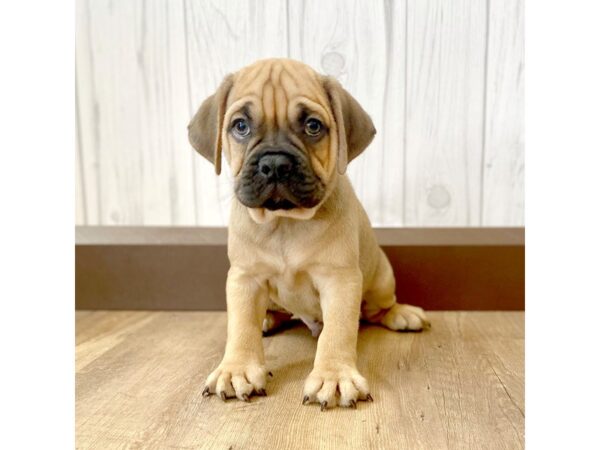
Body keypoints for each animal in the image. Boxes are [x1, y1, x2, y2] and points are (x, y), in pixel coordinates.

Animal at [188, 58, 426, 410]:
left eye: (313, 126)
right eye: (241, 126)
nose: (274, 164)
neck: (285, 222)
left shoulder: (339, 280)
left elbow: (338, 331)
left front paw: (334, 375)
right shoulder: (245, 278)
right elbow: (241, 325)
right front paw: (238, 368)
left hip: (382, 278)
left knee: (377, 308)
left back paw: (402, 314)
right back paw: (267, 319)